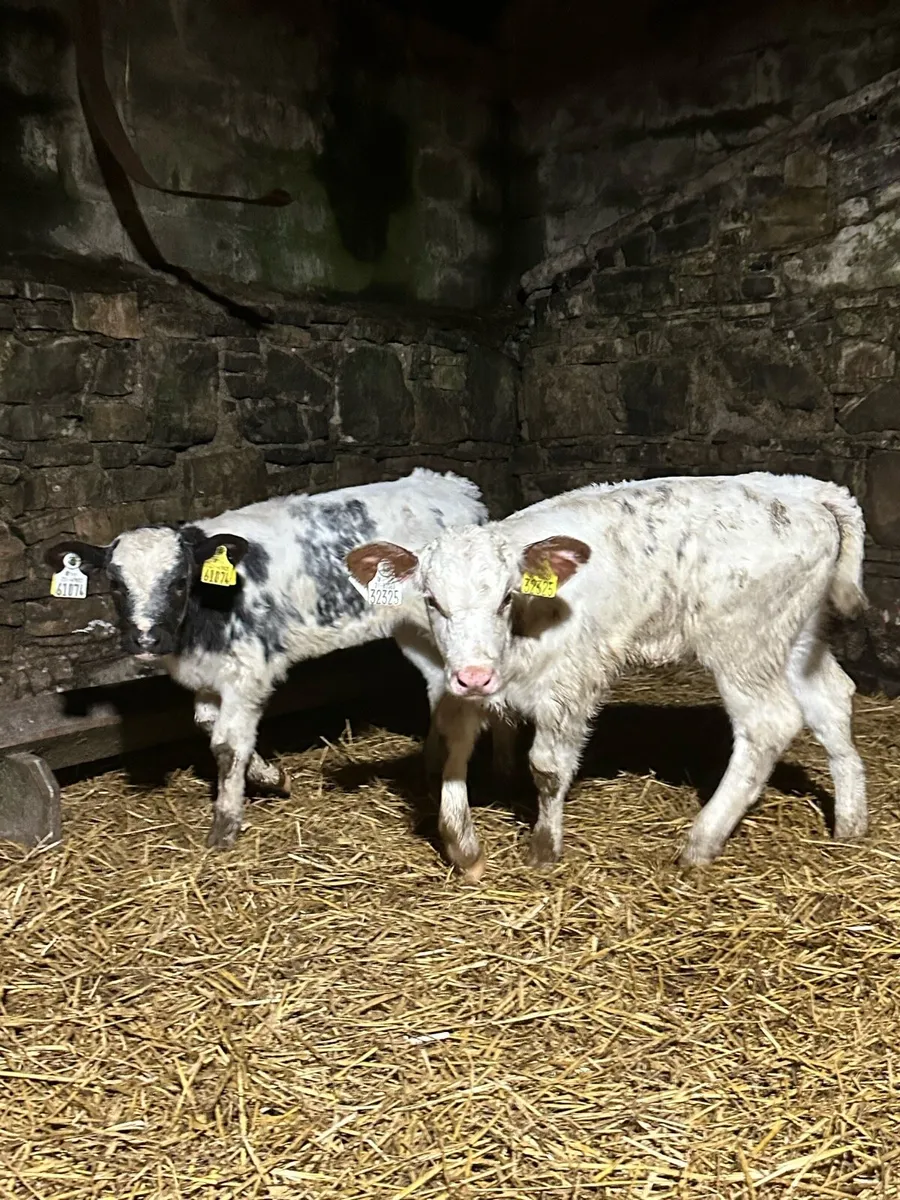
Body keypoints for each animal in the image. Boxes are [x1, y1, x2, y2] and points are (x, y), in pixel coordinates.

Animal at [46, 469, 512, 849]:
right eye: (115, 584)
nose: (145, 637)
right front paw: (272, 778)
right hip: (412, 628)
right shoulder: (208, 674)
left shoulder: (248, 670)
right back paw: (432, 764)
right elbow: (207, 725)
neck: (202, 621)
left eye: (179, 581)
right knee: (436, 684)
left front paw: (224, 827)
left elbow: (227, 745)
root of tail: (451, 484)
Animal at [346, 472, 868, 881]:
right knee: (831, 697)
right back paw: (850, 824)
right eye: (432, 599)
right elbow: (453, 749)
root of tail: (803, 491)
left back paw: (700, 841)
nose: (475, 676)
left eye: (506, 597)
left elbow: (547, 768)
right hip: (797, 635)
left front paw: (544, 849)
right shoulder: (461, 682)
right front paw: (464, 848)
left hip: (743, 642)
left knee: (768, 723)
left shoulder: (569, 683)